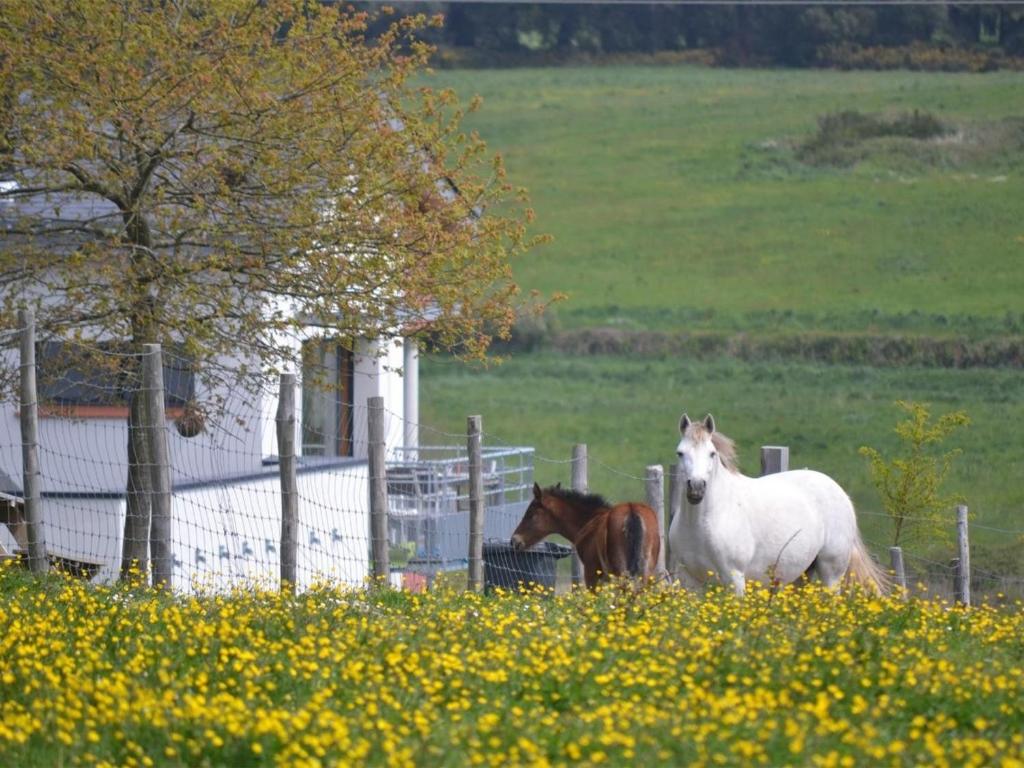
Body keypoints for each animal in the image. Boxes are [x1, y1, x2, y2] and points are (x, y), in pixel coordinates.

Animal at [667, 411, 884, 598]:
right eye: (680, 453)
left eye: (712, 453)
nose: (696, 488)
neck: (704, 523)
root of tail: (840, 492)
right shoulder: (690, 580)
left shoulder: (734, 577)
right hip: (802, 574)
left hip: (831, 572)